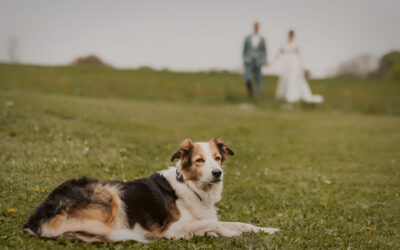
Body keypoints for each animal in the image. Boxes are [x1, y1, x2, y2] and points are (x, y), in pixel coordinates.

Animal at [22, 138, 278, 243]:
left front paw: (267, 230)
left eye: (217, 158)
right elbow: (216, 225)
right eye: (199, 161)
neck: (190, 187)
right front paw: (232, 236)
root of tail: (34, 220)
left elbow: (240, 223)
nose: (217, 173)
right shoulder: (169, 230)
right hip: (111, 194)